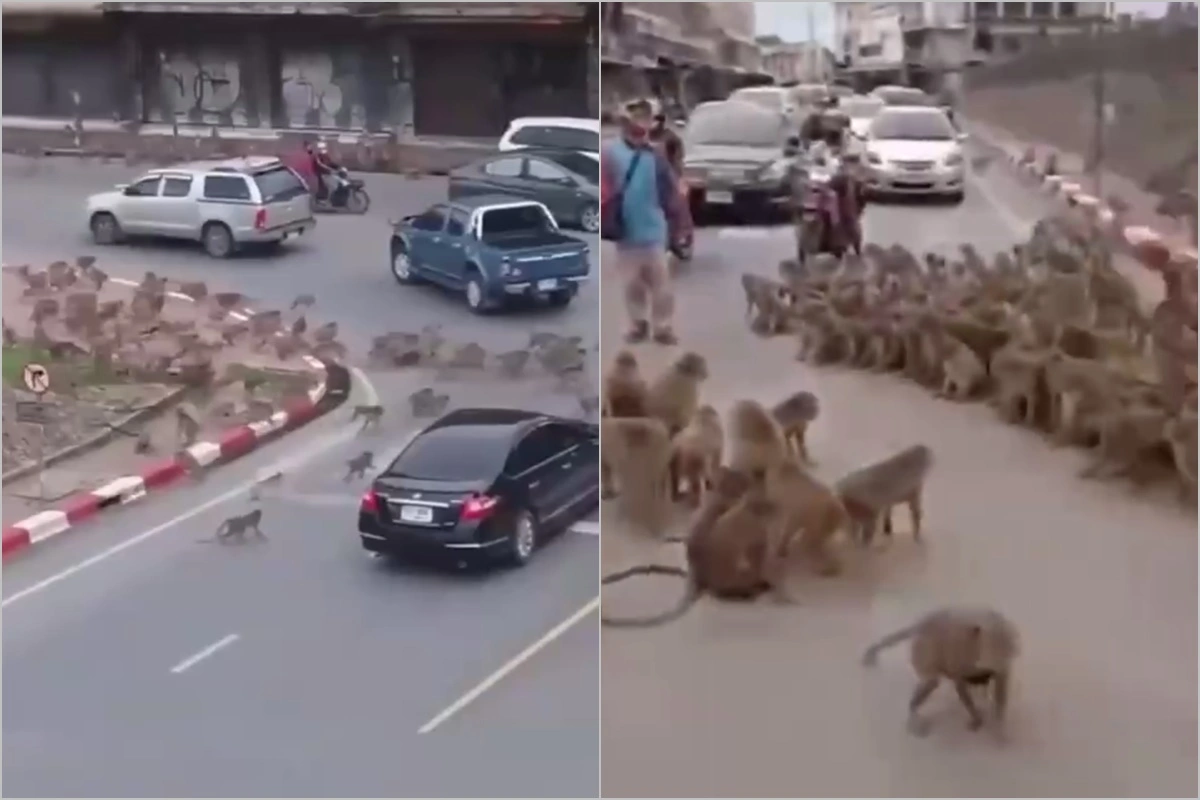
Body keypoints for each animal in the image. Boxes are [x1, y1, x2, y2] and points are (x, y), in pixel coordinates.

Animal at [864, 606, 1022, 738]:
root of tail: (919, 625)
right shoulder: (961, 666)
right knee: (921, 694)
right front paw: (977, 718)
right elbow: (965, 694)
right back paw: (916, 722)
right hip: (926, 657)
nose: (985, 676)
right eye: (989, 651)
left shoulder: (1001, 671)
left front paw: (999, 730)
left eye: (1010, 650)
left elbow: (1000, 697)